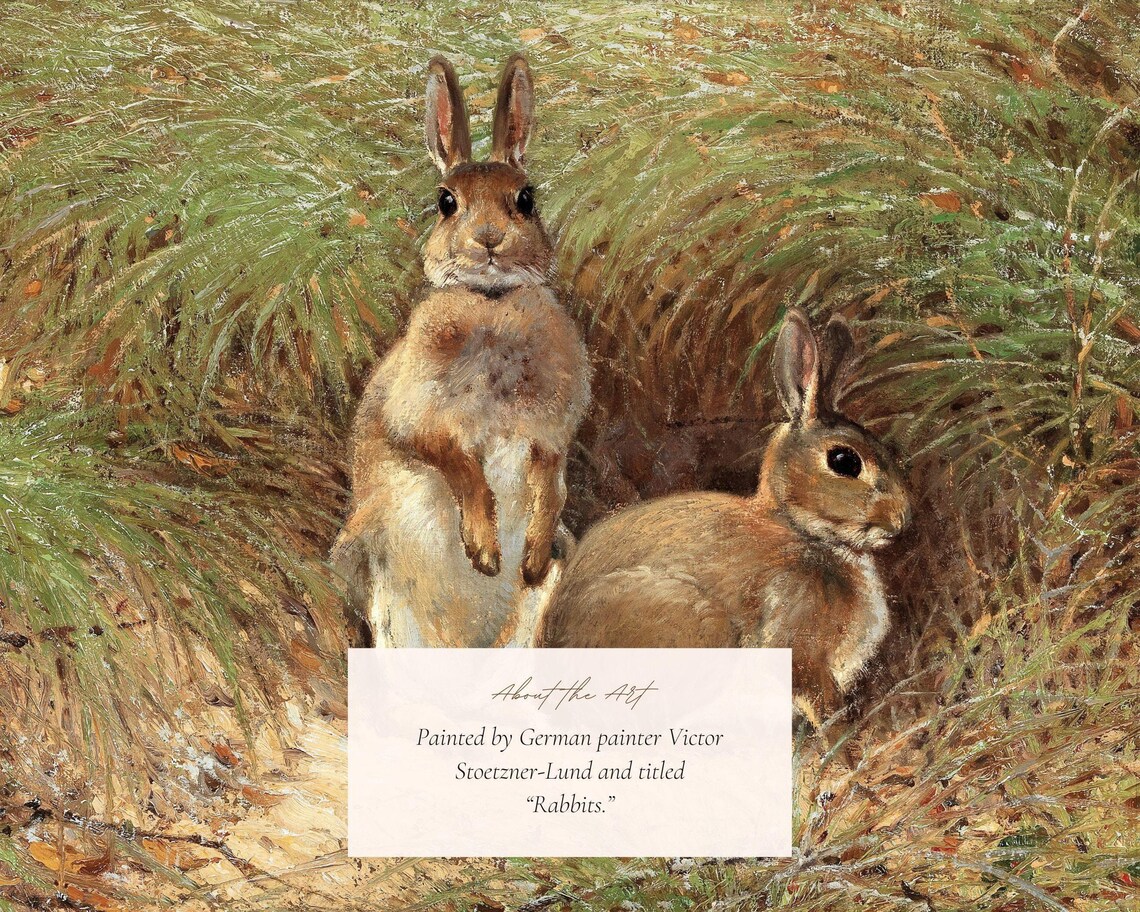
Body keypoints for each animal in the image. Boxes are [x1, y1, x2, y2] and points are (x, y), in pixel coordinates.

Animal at [332, 53, 590, 648]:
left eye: (526, 199)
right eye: (446, 202)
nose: (489, 238)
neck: (491, 305)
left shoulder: (550, 433)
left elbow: (551, 481)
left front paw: (529, 557)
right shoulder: (415, 416)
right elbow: (458, 461)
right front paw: (485, 551)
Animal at [537, 308, 910, 733]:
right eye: (845, 461)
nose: (901, 520)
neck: (801, 530)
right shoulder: (796, 635)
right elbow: (817, 694)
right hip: (701, 629)